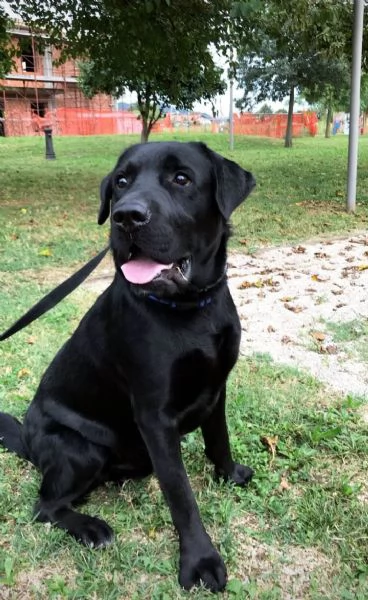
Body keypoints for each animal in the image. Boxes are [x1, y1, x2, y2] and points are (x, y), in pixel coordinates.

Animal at [0, 141, 256, 592]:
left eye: (182, 178)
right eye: (121, 182)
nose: (126, 216)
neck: (190, 309)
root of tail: (29, 444)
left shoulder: (217, 387)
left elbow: (219, 440)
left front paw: (228, 474)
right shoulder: (155, 416)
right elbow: (181, 494)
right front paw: (199, 561)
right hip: (80, 449)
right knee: (45, 506)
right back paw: (90, 527)